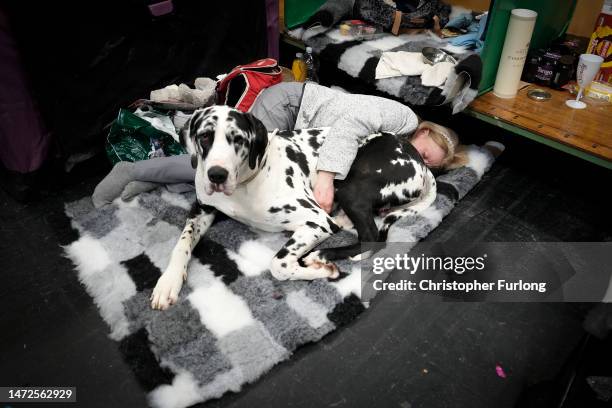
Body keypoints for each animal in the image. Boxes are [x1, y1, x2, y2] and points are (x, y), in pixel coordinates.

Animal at [149, 105, 436, 310]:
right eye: (205, 136)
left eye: (238, 139)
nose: (217, 175)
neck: (247, 182)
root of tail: (421, 162)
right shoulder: (201, 210)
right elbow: (182, 244)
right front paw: (168, 282)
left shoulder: (316, 220)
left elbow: (278, 264)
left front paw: (319, 270)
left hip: (349, 186)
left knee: (371, 236)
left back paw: (322, 255)